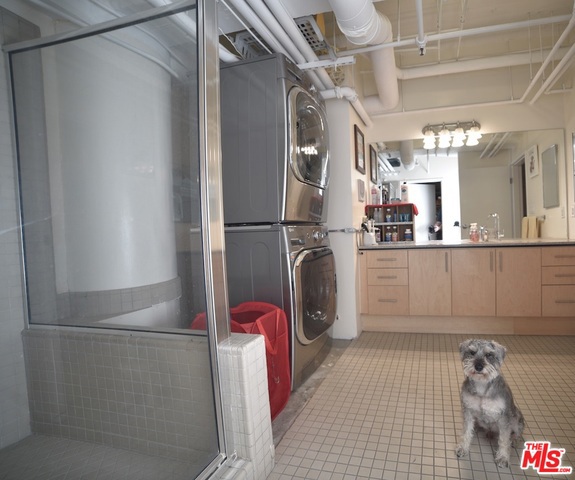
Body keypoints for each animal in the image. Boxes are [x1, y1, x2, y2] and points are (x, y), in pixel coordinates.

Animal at [456, 338, 524, 468]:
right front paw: (463, 448)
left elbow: (504, 439)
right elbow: (466, 431)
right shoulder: (468, 410)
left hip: (516, 418)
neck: (481, 386)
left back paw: (515, 440)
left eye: (489, 355)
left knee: (518, 433)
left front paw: (502, 457)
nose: (478, 366)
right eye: (472, 352)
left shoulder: (504, 417)